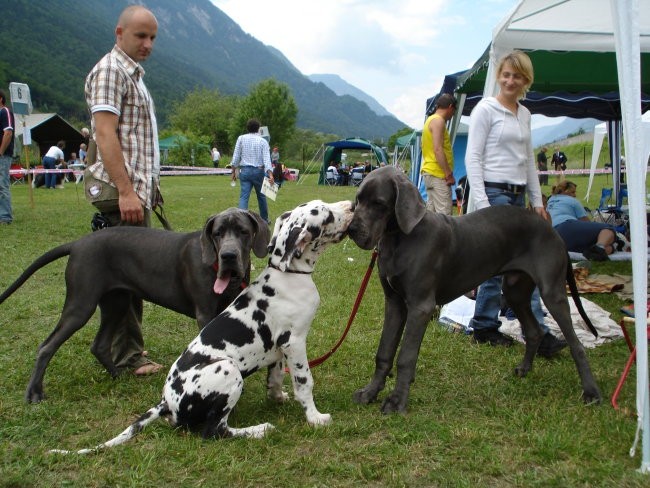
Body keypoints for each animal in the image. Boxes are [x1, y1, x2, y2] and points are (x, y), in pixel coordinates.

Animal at [49, 199, 354, 454]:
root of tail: (166, 402)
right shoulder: (295, 342)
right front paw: (314, 417)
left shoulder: (280, 347)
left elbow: (276, 377)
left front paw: (278, 398)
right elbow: (304, 381)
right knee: (214, 432)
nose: (352, 205)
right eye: (325, 214)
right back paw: (259, 430)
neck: (288, 273)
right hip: (229, 370)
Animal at [346, 166, 600, 414]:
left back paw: (591, 392)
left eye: (379, 203)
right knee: (534, 331)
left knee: (576, 345)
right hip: (515, 292)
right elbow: (384, 352)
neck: (399, 238)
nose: (351, 229)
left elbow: (405, 357)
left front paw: (397, 401)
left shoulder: (420, 307)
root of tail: (551, 228)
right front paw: (370, 392)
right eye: (358, 200)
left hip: (551, 293)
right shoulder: (395, 303)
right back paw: (524, 369)